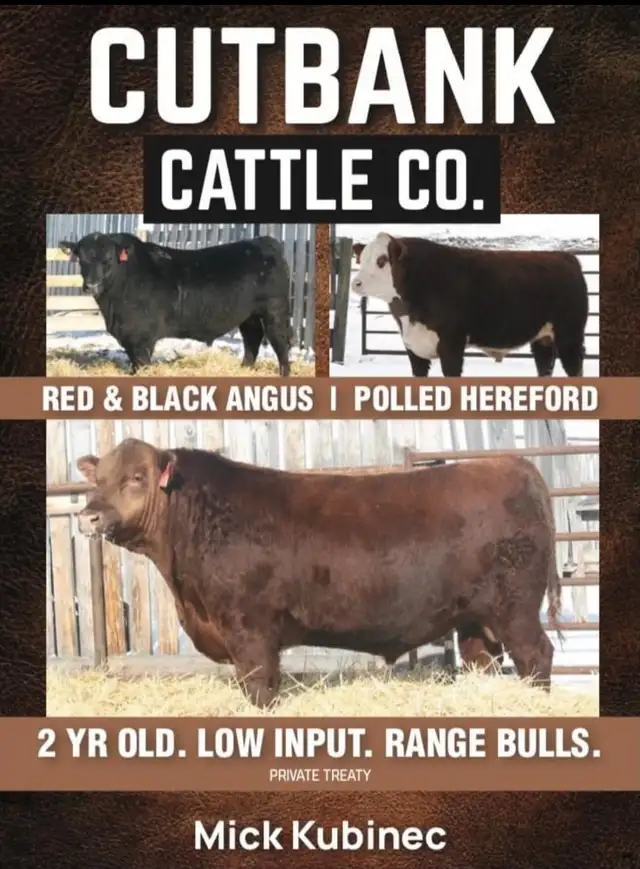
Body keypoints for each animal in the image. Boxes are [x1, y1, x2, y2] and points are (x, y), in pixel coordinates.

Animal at [58, 232, 292, 375]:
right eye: (81, 260)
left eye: (108, 260)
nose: (92, 285)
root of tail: (263, 241)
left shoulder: (141, 337)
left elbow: (141, 364)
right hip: (248, 315)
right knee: (252, 338)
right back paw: (244, 369)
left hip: (275, 310)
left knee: (280, 341)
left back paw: (284, 373)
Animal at [76, 437, 563, 708]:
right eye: (96, 480)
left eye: (136, 478)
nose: (88, 516)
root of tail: (514, 464)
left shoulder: (249, 628)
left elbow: (259, 686)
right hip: (475, 619)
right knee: (484, 661)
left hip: (516, 609)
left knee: (537, 655)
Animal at [350, 231, 589, 377]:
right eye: (361, 259)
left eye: (382, 260)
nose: (356, 283)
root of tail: (565, 257)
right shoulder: (414, 349)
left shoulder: (452, 345)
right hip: (543, 339)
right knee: (545, 366)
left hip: (569, 336)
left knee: (574, 368)